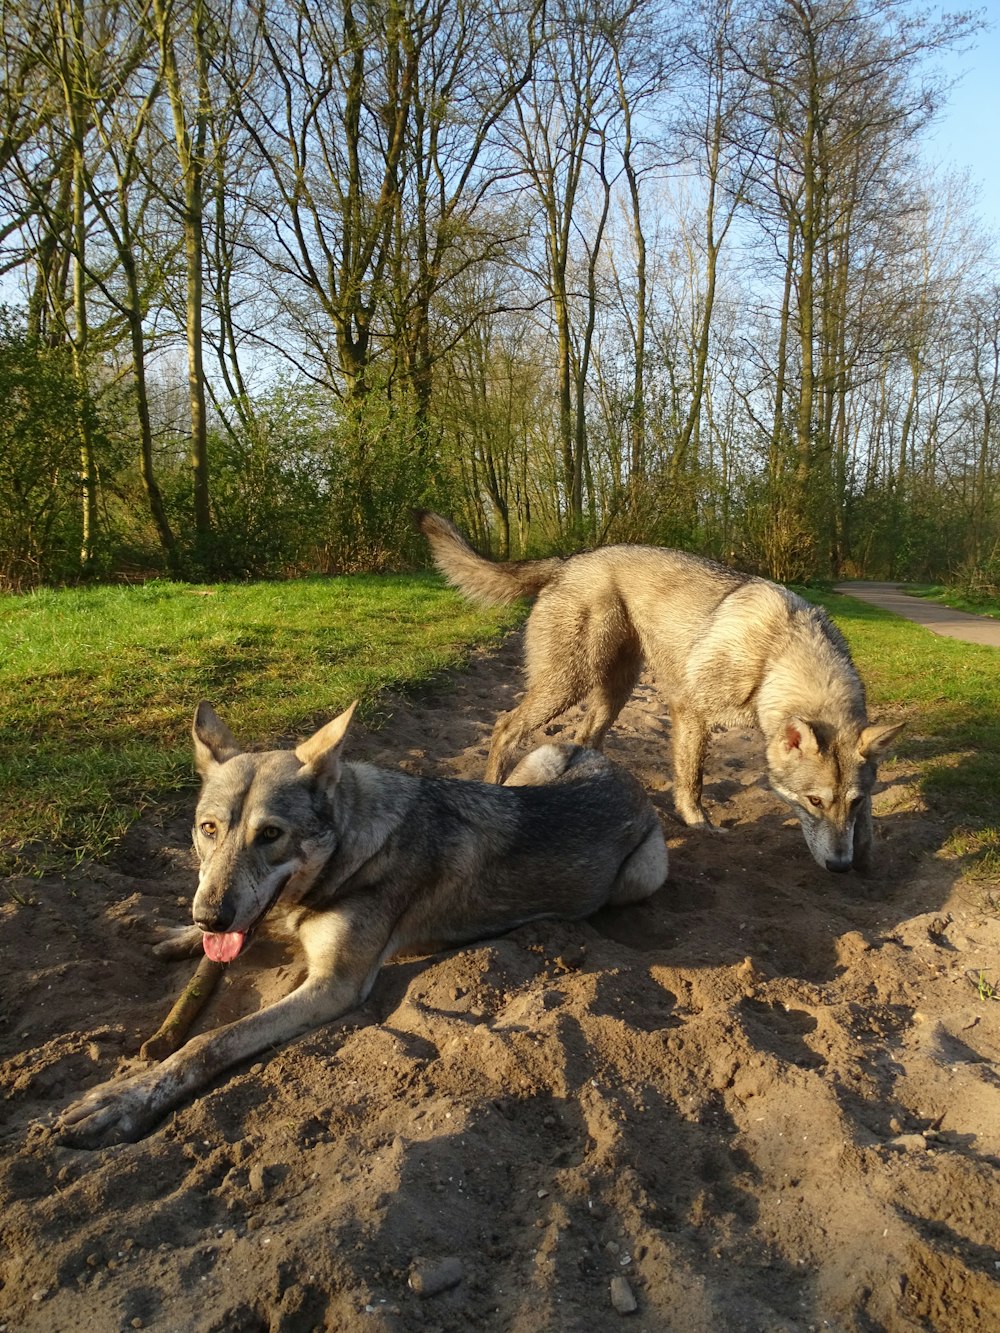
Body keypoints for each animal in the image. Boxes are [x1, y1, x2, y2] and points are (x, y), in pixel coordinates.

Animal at [54, 703, 669, 1151]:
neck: (351, 847)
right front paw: (183, 936)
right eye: (208, 829)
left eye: (270, 835)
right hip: (533, 766)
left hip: (643, 874)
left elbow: (208, 1041)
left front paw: (123, 1101)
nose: (210, 916)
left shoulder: (336, 985)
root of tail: (618, 769)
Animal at [418, 509, 906, 874]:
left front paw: (868, 856)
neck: (776, 655)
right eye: (813, 801)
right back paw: (495, 784)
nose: (840, 866)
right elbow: (692, 780)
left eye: (855, 802)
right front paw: (700, 825)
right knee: (505, 727)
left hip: (613, 693)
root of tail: (570, 560)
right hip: (567, 686)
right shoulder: (690, 711)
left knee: (583, 739)